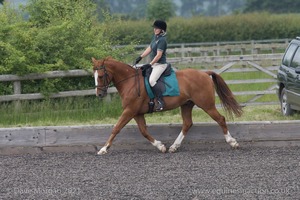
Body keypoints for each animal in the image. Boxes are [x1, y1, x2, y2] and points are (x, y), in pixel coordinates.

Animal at [92, 56, 243, 155]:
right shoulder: (137, 113)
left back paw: (232, 142)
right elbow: (143, 131)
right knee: (187, 124)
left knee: (220, 119)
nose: (99, 94)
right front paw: (161, 146)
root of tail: (204, 73)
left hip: (206, 105)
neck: (129, 82)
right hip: (187, 104)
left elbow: (116, 128)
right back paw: (174, 147)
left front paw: (104, 149)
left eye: (100, 76)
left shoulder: (130, 110)